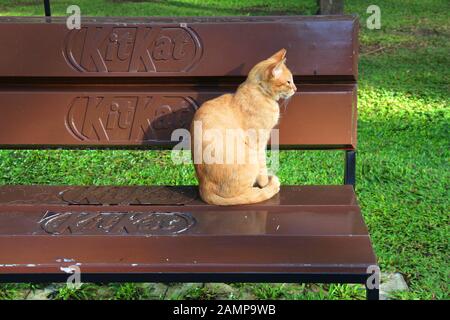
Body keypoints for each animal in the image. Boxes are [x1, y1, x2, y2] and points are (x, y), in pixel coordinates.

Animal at [192, 49, 298, 206]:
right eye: (288, 82)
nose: (295, 89)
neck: (259, 92)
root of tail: (203, 189)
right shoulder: (259, 143)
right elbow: (263, 168)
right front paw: (265, 183)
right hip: (250, 156)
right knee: (247, 196)